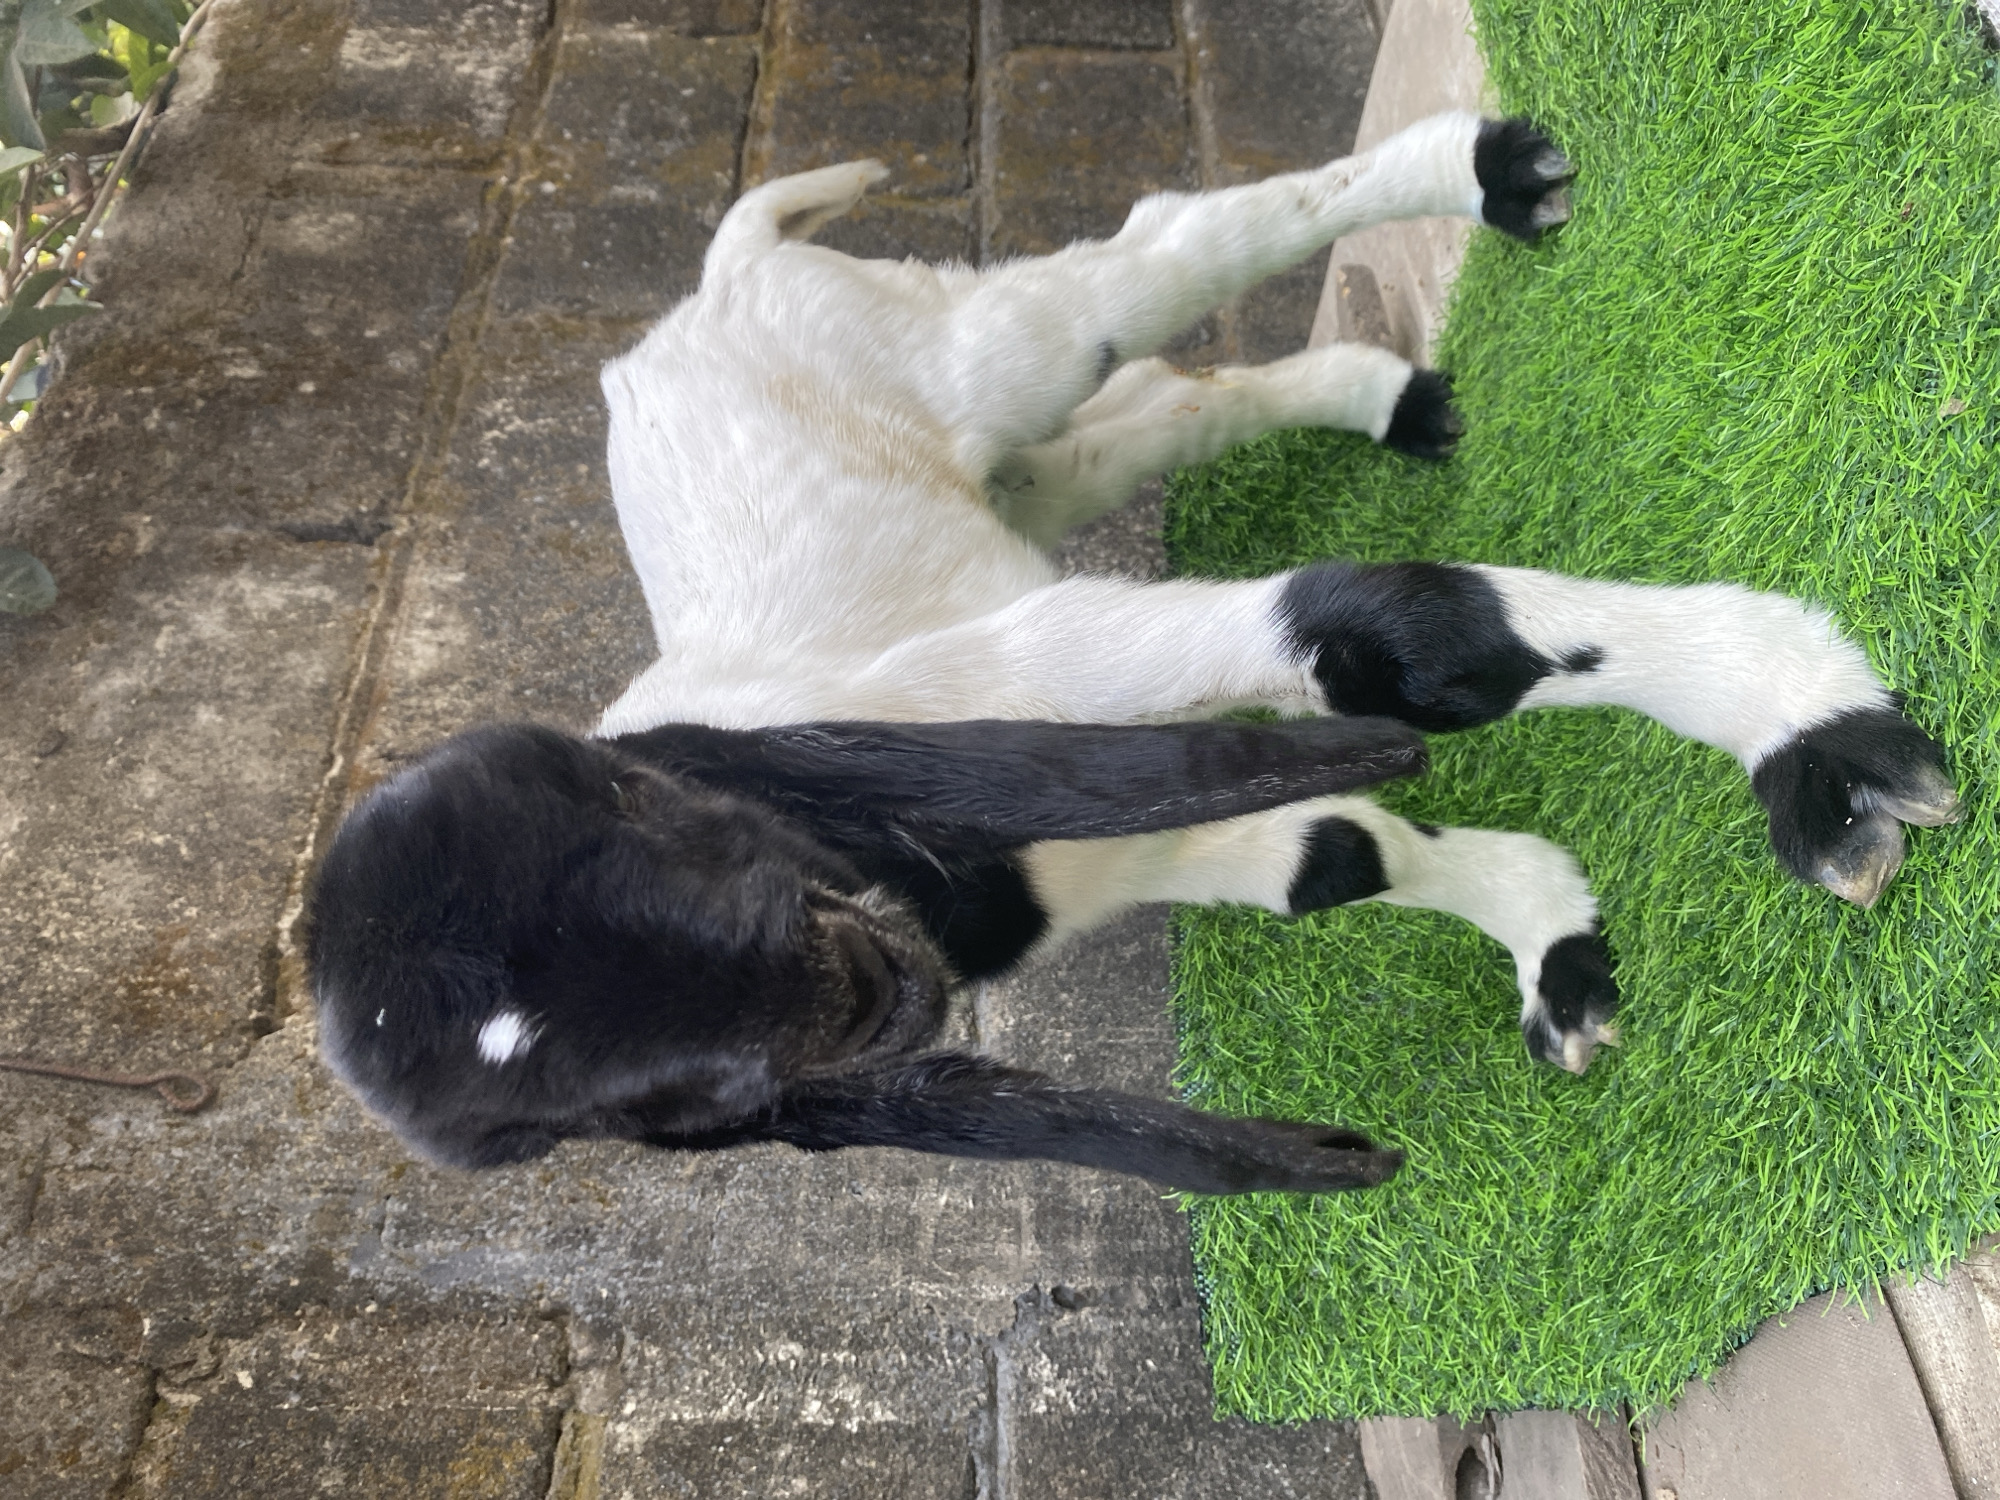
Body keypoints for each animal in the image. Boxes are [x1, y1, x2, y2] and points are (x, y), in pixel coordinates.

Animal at [307, 113, 1958, 1194]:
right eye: (669, 1098)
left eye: (701, 851)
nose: (878, 1004)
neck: (936, 894)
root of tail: (697, 298)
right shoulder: (1120, 816)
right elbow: (1337, 855)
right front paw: (1551, 934)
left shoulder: (1047, 679)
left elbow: (1400, 638)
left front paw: (1807, 731)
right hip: (1008, 483)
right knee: (1148, 408)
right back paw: (1378, 394)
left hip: (984, 361)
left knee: (1149, 261)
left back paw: (1476, 171)